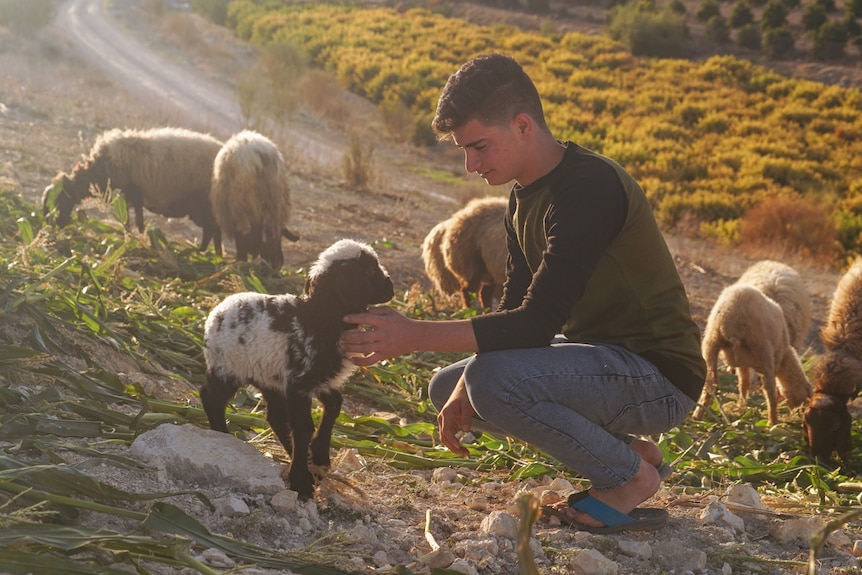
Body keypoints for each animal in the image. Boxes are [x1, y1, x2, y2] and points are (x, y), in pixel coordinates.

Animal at [44, 128, 224, 254]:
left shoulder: (134, 191)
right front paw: (134, 238)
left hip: (202, 207)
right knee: (215, 231)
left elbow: (136, 222)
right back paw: (215, 255)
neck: (101, 170)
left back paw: (201, 252)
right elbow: (131, 220)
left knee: (211, 230)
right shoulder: (130, 195)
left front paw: (136, 239)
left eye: (59, 201)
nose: (58, 225)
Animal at [201, 238, 394, 500]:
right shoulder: (299, 382)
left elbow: (333, 406)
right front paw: (301, 482)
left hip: (268, 376)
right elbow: (304, 427)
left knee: (274, 416)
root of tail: (216, 313)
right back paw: (222, 434)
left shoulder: (318, 379)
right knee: (210, 397)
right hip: (228, 368)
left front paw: (318, 460)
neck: (322, 316)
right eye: (369, 271)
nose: (391, 288)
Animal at [692, 284, 812, 428]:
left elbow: (744, 383)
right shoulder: (773, 359)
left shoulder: (742, 364)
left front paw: (741, 405)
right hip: (763, 347)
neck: (785, 356)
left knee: (711, 382)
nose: (796, 412)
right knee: (769, 389)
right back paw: (772, 422)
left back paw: (698, 415)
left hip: (711, 341)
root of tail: (734, 315)